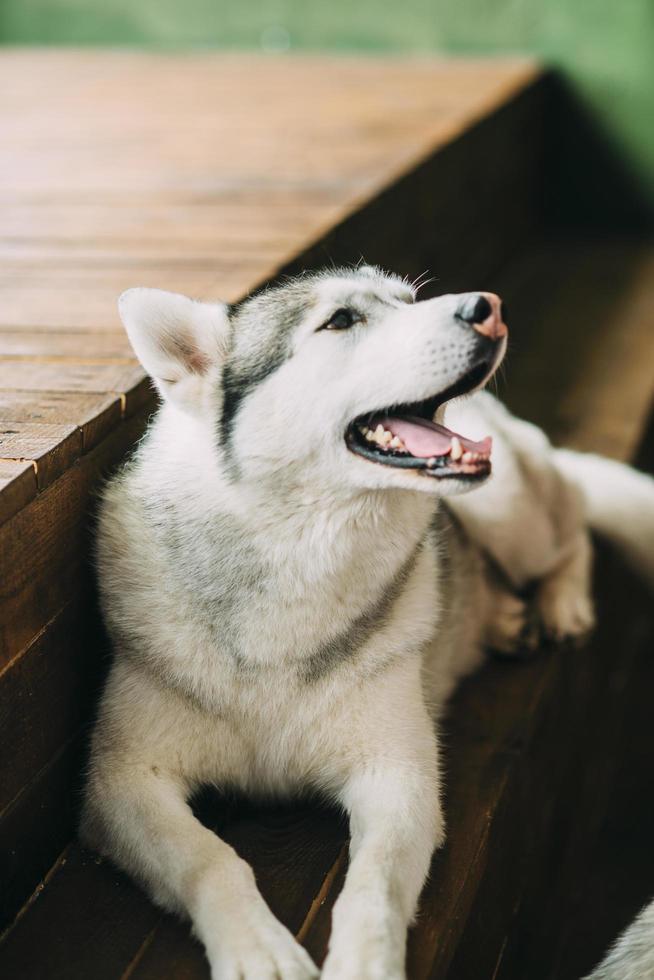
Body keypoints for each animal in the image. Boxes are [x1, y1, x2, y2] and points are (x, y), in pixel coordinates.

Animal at [80, 268, 654, 980]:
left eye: (408, 301)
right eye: (341, 321)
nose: (489, 308)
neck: (299, 559)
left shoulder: (399, 779)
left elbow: (373, 888)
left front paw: (365, 963)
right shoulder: (123, 785)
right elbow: (209, 859)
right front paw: (257, 946)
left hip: (511, 511)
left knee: (573, 522)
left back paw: (560, 603)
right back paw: (502, 618)